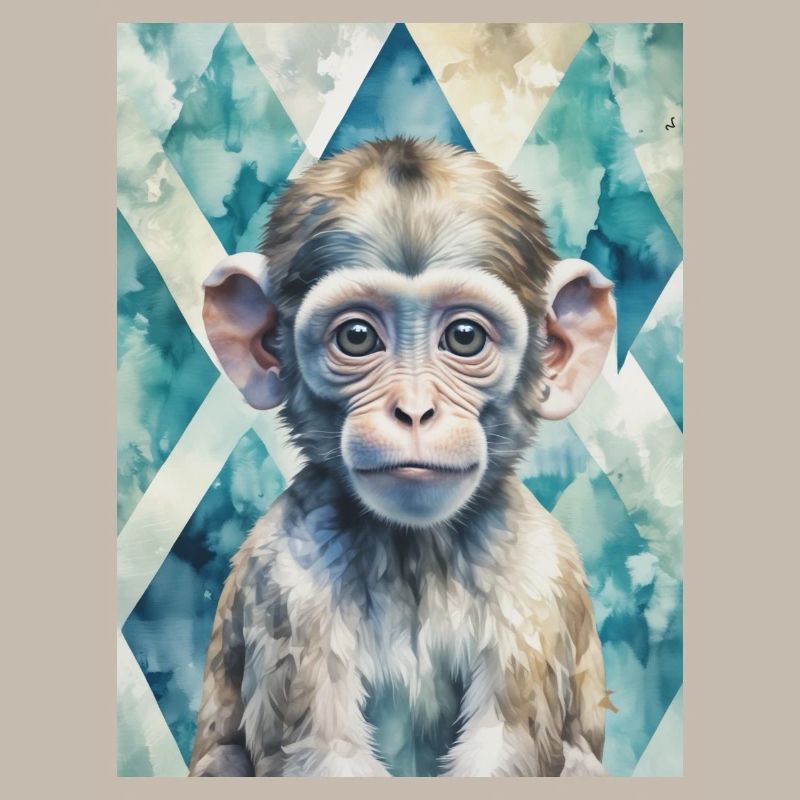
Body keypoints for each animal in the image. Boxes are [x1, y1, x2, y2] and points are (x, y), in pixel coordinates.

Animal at [188, 137, 616, 777]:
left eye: (464, 337)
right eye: (357, 337)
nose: (414, 411)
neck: (414, 549)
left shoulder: (537, 576)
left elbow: (508, 745)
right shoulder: (287, 577)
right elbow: (320, 754)